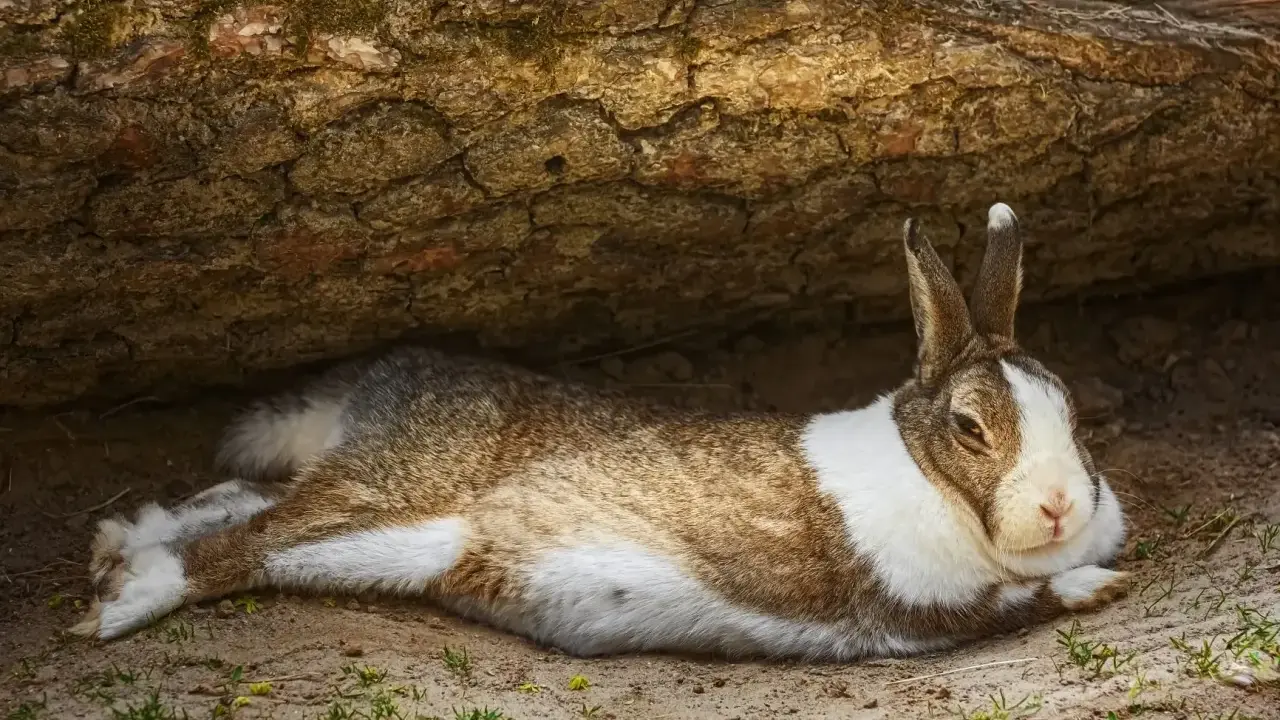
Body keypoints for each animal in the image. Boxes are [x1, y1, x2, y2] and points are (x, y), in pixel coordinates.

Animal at [70, 202, 1131, 661]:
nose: (1060, 506)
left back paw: (113, 545)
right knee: (245, 544)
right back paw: (115, 606)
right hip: (392, 511)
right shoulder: (915, 609)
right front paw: (1098, 584)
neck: (931, 480)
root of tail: (383, 384)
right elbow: (1014, 605)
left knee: (244, 501)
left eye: (1072, 409)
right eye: (969, 426)